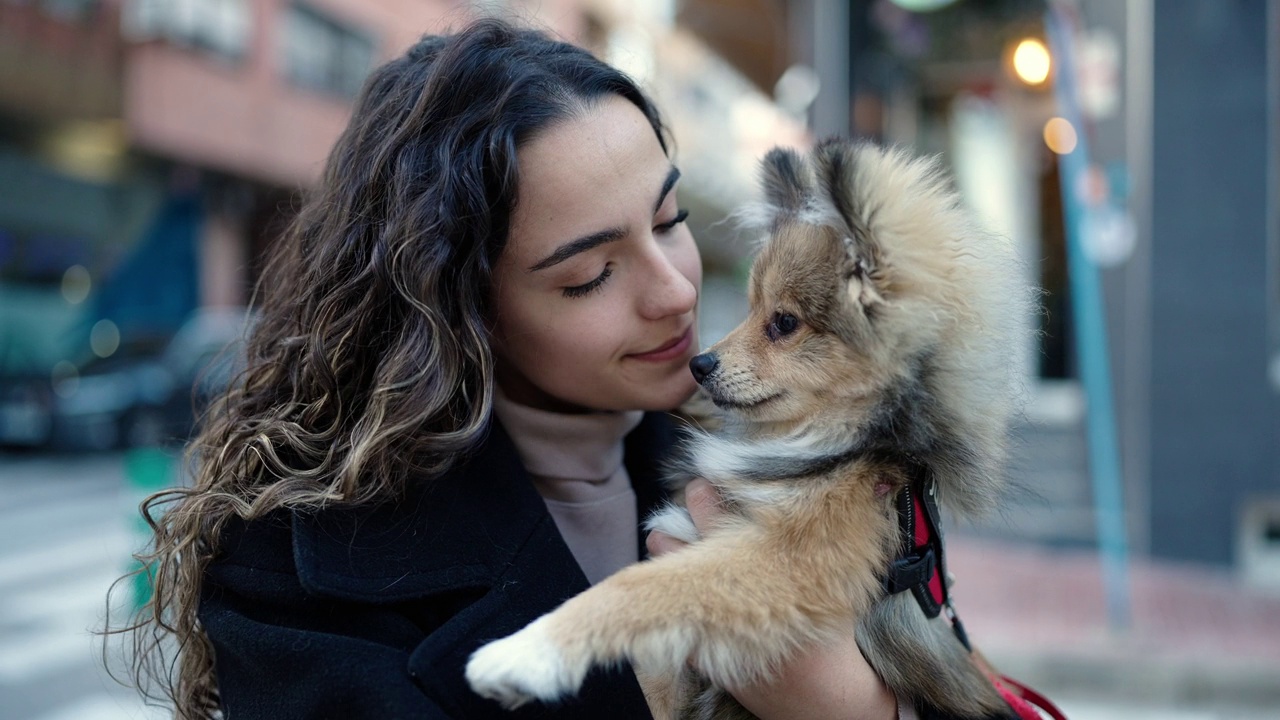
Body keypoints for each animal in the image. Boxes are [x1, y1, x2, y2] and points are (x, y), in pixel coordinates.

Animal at [465, 140, 1024, 717]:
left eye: (783, 323)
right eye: (750, 308)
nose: (699, 364)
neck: (833, 441)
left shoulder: (789, 561)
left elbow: (642, 589)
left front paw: (528, 652)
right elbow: (655, 679)